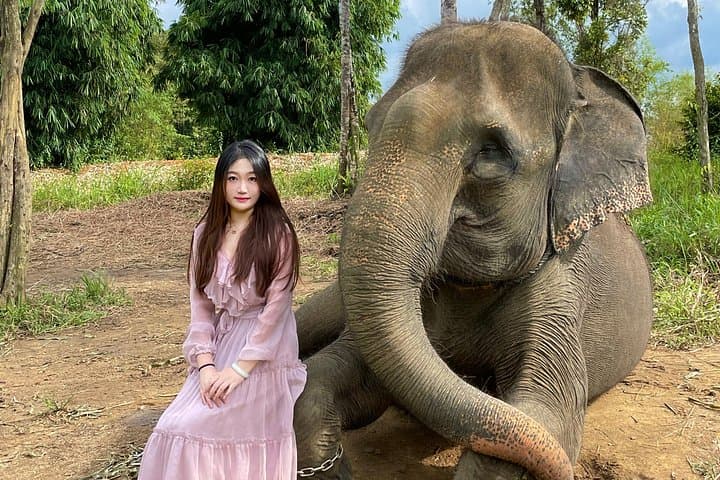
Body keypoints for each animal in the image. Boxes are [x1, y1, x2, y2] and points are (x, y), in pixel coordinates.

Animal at [293, 20, 653, 480]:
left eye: (492, 151)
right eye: (370, 124)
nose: (478, 381)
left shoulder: (561, 293)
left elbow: (540, 417)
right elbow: (326, 377)